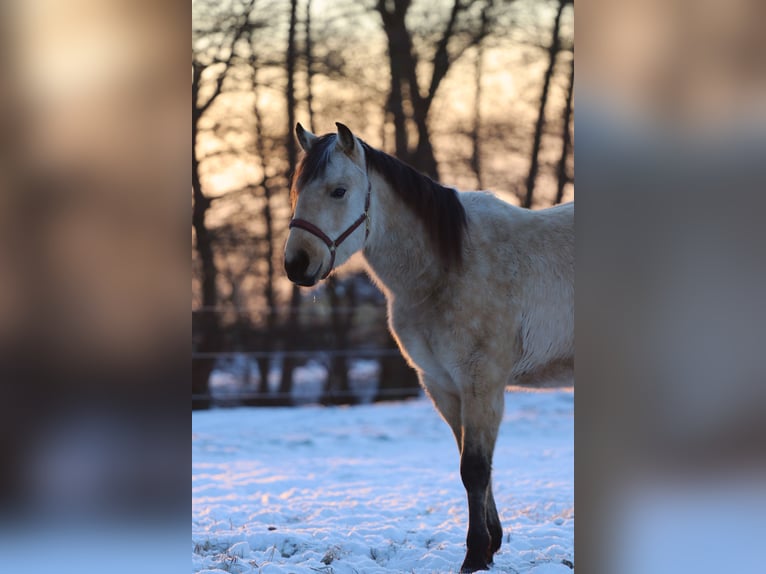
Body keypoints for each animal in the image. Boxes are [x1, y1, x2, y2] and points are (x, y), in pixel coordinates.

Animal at [284, 122, 574, 573]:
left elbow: (475, 469)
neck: (446, 268)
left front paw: (474, 554)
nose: (296, 264)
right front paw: (489, 547)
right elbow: (473, 465)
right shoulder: (443, 385)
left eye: (338, 191)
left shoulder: (482, 382)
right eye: (296, 190)